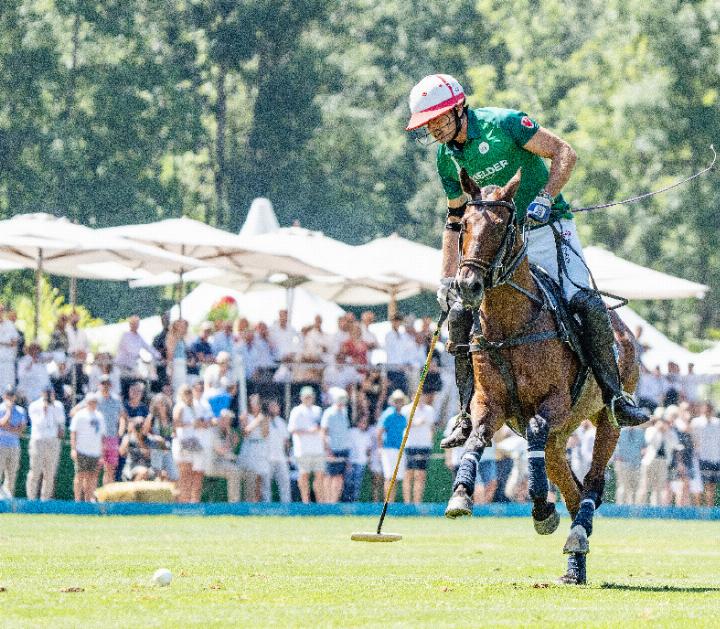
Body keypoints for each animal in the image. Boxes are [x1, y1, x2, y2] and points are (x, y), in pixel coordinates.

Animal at [448, 167, 640, 584]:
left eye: (502, 226)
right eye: (464, 225)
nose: (468, 286)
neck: (509, 325)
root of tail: (625, 330)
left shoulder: (554, 400)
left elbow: (536, 429)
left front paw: (540, 506)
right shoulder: (489, 401)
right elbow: (478, 436)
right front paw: (461, 494)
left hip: (605, 417)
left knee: (593, 481)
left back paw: (577, 536)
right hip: (561, 434)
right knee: (572, 486)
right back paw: (574, 560)